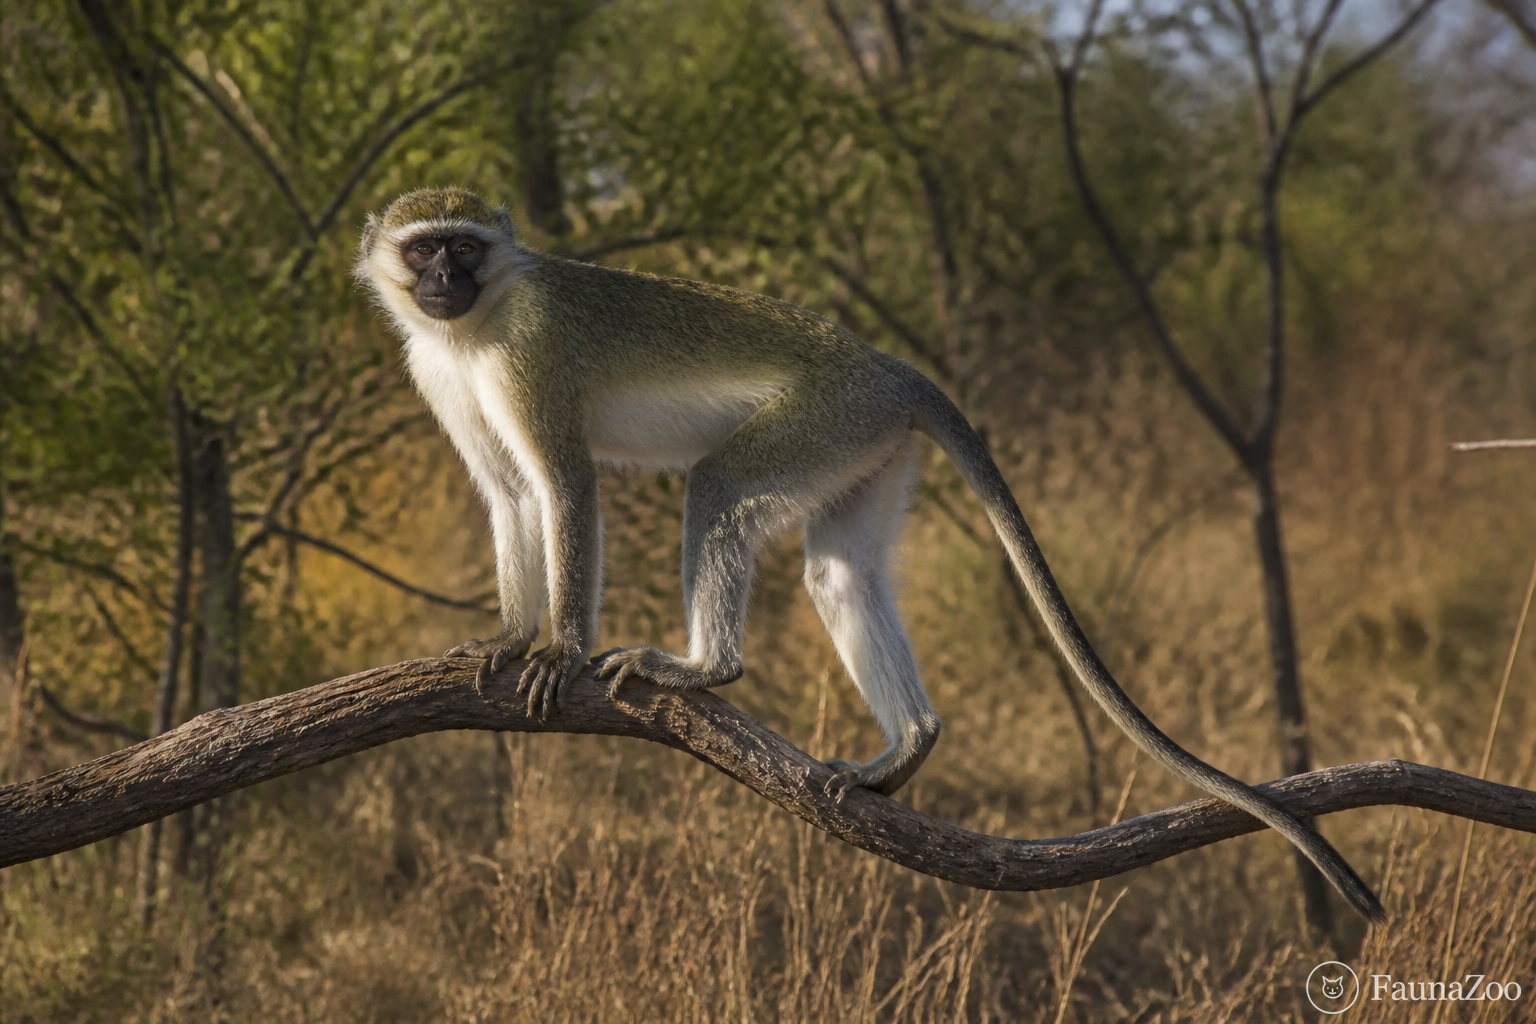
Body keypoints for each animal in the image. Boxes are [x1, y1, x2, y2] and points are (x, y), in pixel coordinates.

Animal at [356, 186, 1385, 923]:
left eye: (464, 246)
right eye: (423, 249)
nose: (444, 280)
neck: (476, 325)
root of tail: (889, 368)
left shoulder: (531, 355)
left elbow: (563, 486)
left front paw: (559, 649)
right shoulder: (436, 366)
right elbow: (510, 495)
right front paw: (509, 637)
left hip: (826, 417)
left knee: (718, 487)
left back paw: (704, 668)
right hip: (867, 446)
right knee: (838, 571)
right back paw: (907, 747)